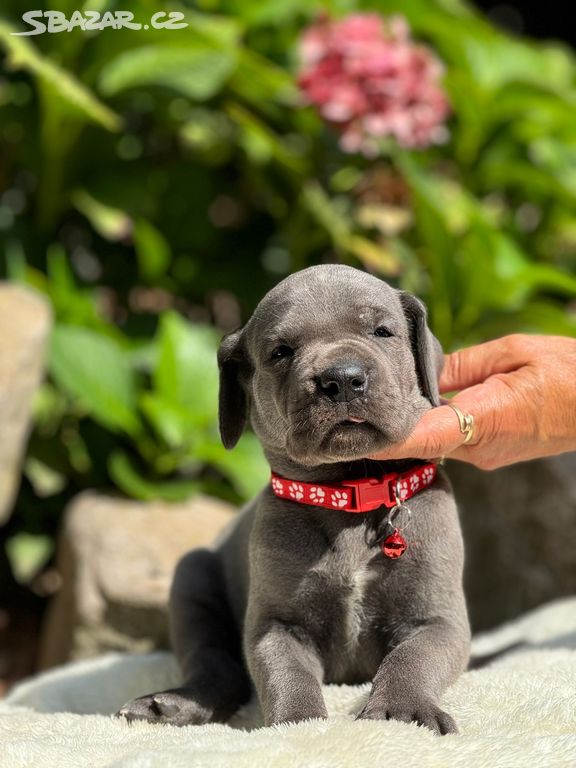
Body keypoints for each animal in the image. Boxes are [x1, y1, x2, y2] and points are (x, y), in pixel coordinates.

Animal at [116, 268, 468, 736]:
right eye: (281, 352)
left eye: (382, 331)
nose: (342, 378)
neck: (350, 493)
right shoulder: (277, 623)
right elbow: (287, 673)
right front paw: (298, 726)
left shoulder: (438, 618)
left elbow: (413, 658)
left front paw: (402, 710)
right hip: (191, 581)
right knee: (215, 664)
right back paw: (171, 705)